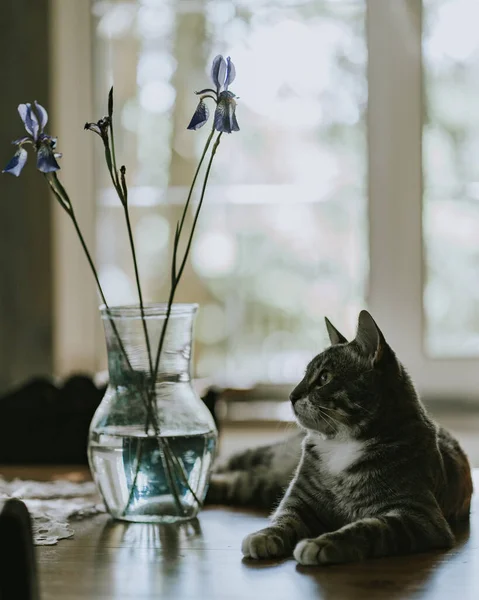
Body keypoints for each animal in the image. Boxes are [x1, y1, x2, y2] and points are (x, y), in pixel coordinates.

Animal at [206, 312, 472, 564]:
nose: (291, 395)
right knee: (227, 467)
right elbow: (285, 517)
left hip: (262, 486)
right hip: (265, 464)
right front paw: (266, 534)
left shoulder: (418, 516)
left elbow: (368, 528)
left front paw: (321, 543)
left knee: (234, 481)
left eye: (324, 378)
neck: (341, 443)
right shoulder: (300, 499)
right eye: (305, 374)